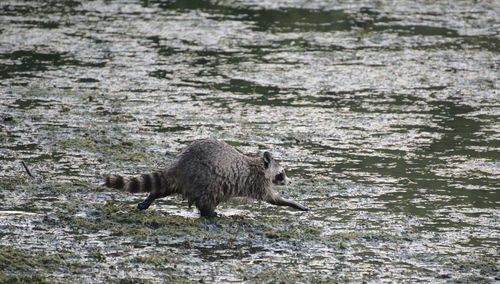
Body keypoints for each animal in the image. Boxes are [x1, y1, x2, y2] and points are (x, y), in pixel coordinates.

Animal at [105, 138, 306, 217]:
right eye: (282, 173)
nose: (290, 181)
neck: (257, 164)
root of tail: (180, 164)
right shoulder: (258, 182)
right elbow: (271, 198)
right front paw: (291, 203)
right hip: (206, 179)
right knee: (207, 199)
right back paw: (210, 213)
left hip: (186, 181)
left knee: (166, 187)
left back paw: (151, 197)